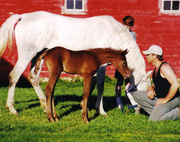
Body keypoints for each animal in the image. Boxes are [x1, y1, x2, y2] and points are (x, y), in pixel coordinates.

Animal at [0, 11, 148, 115]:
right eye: (140, 91)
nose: (139, 110)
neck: (115, 34)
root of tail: (22, 17)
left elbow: (92, 85)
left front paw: (84, 106)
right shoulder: (102, 66)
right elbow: (100, 86)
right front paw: (101, 111)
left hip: (37, 57)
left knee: (33, 78)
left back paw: (44, 106)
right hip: (27, 55)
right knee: (14, 76)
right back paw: (12, 108)